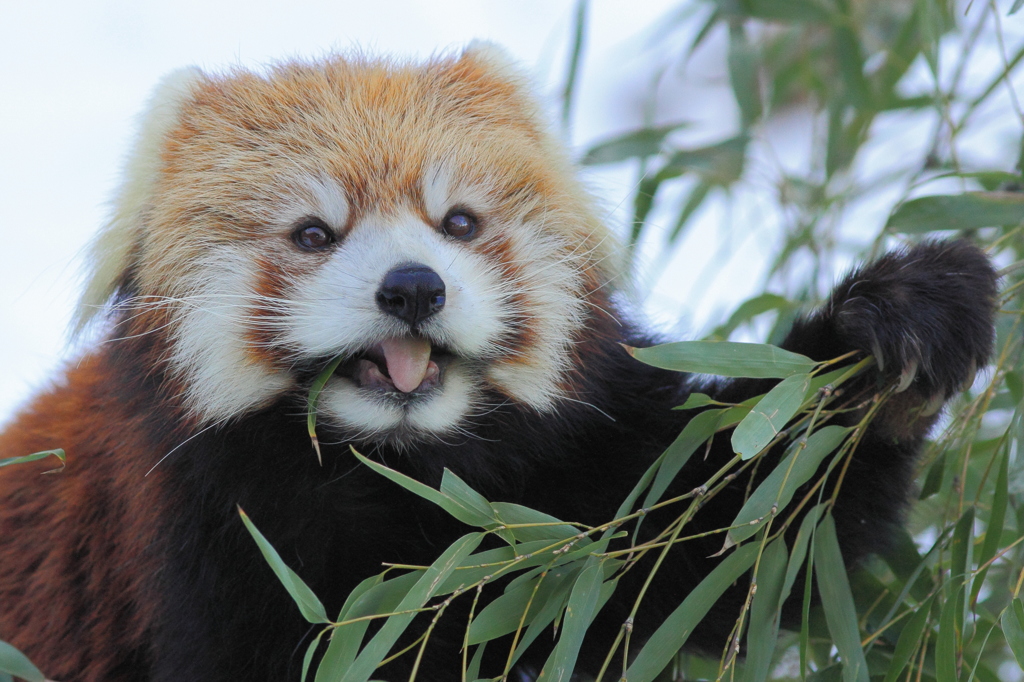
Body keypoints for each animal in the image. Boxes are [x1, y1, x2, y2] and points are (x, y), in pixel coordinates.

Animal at [0, 45, 995, 675]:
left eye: (460, 222)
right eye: (315, 233)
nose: (412, 288)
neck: (407, 481)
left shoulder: (584, 486)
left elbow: (738, 533)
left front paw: (897, 331)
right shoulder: (202, 537)